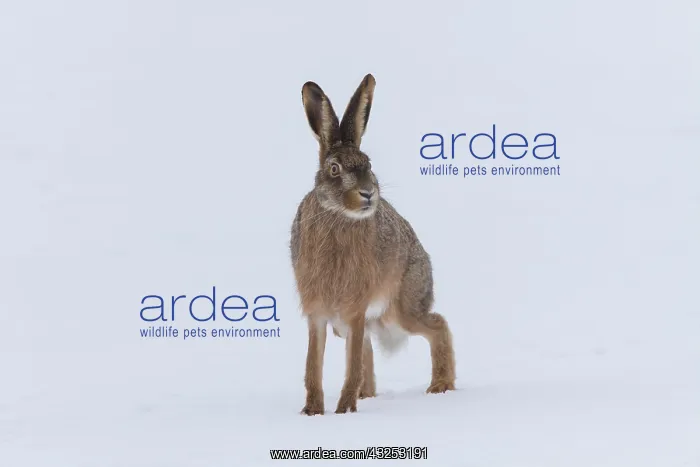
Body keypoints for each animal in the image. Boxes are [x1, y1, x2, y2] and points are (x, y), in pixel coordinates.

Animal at [290, 74, 456, 415]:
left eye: (368, 164)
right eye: (334, 169)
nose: (368, 193)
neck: (338, 215)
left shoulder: (355, 306)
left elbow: (351, 364)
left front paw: (342, 412)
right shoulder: (319, 313)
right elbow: (314, 366)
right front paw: (312, 413)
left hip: (401, 309)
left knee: (437, 325)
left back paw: (440, 386)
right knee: (366, 345)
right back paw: (367, 395)